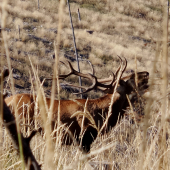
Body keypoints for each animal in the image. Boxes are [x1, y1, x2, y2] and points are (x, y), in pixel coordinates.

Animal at [4, 56, 149, 152]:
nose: (146, 73)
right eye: (131, 79)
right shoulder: (84, 137)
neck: (102, 115)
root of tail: (7, 100)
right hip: (21, 125)